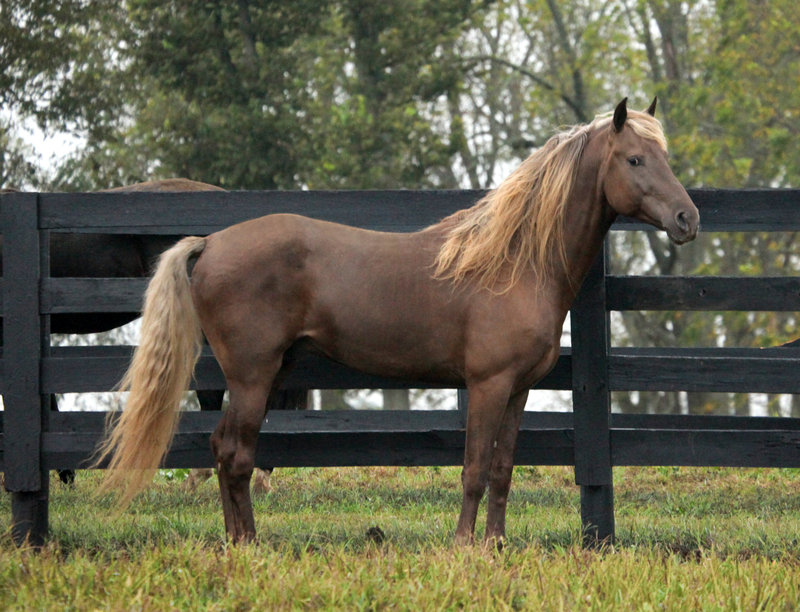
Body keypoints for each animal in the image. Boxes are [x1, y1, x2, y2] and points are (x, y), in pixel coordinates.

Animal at [92, 99, 692, 544]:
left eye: (665, 157)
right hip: (251, 375)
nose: (688, 218)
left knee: (227, 451)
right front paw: (465, 546)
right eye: (635, 160)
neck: (514, 261)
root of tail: (210, 242)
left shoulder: (519, 389)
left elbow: (502, 469)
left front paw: (496, 545)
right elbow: (474, 469)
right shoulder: (488, 385)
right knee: (233, 455)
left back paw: (241, 540)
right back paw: (246, 544)